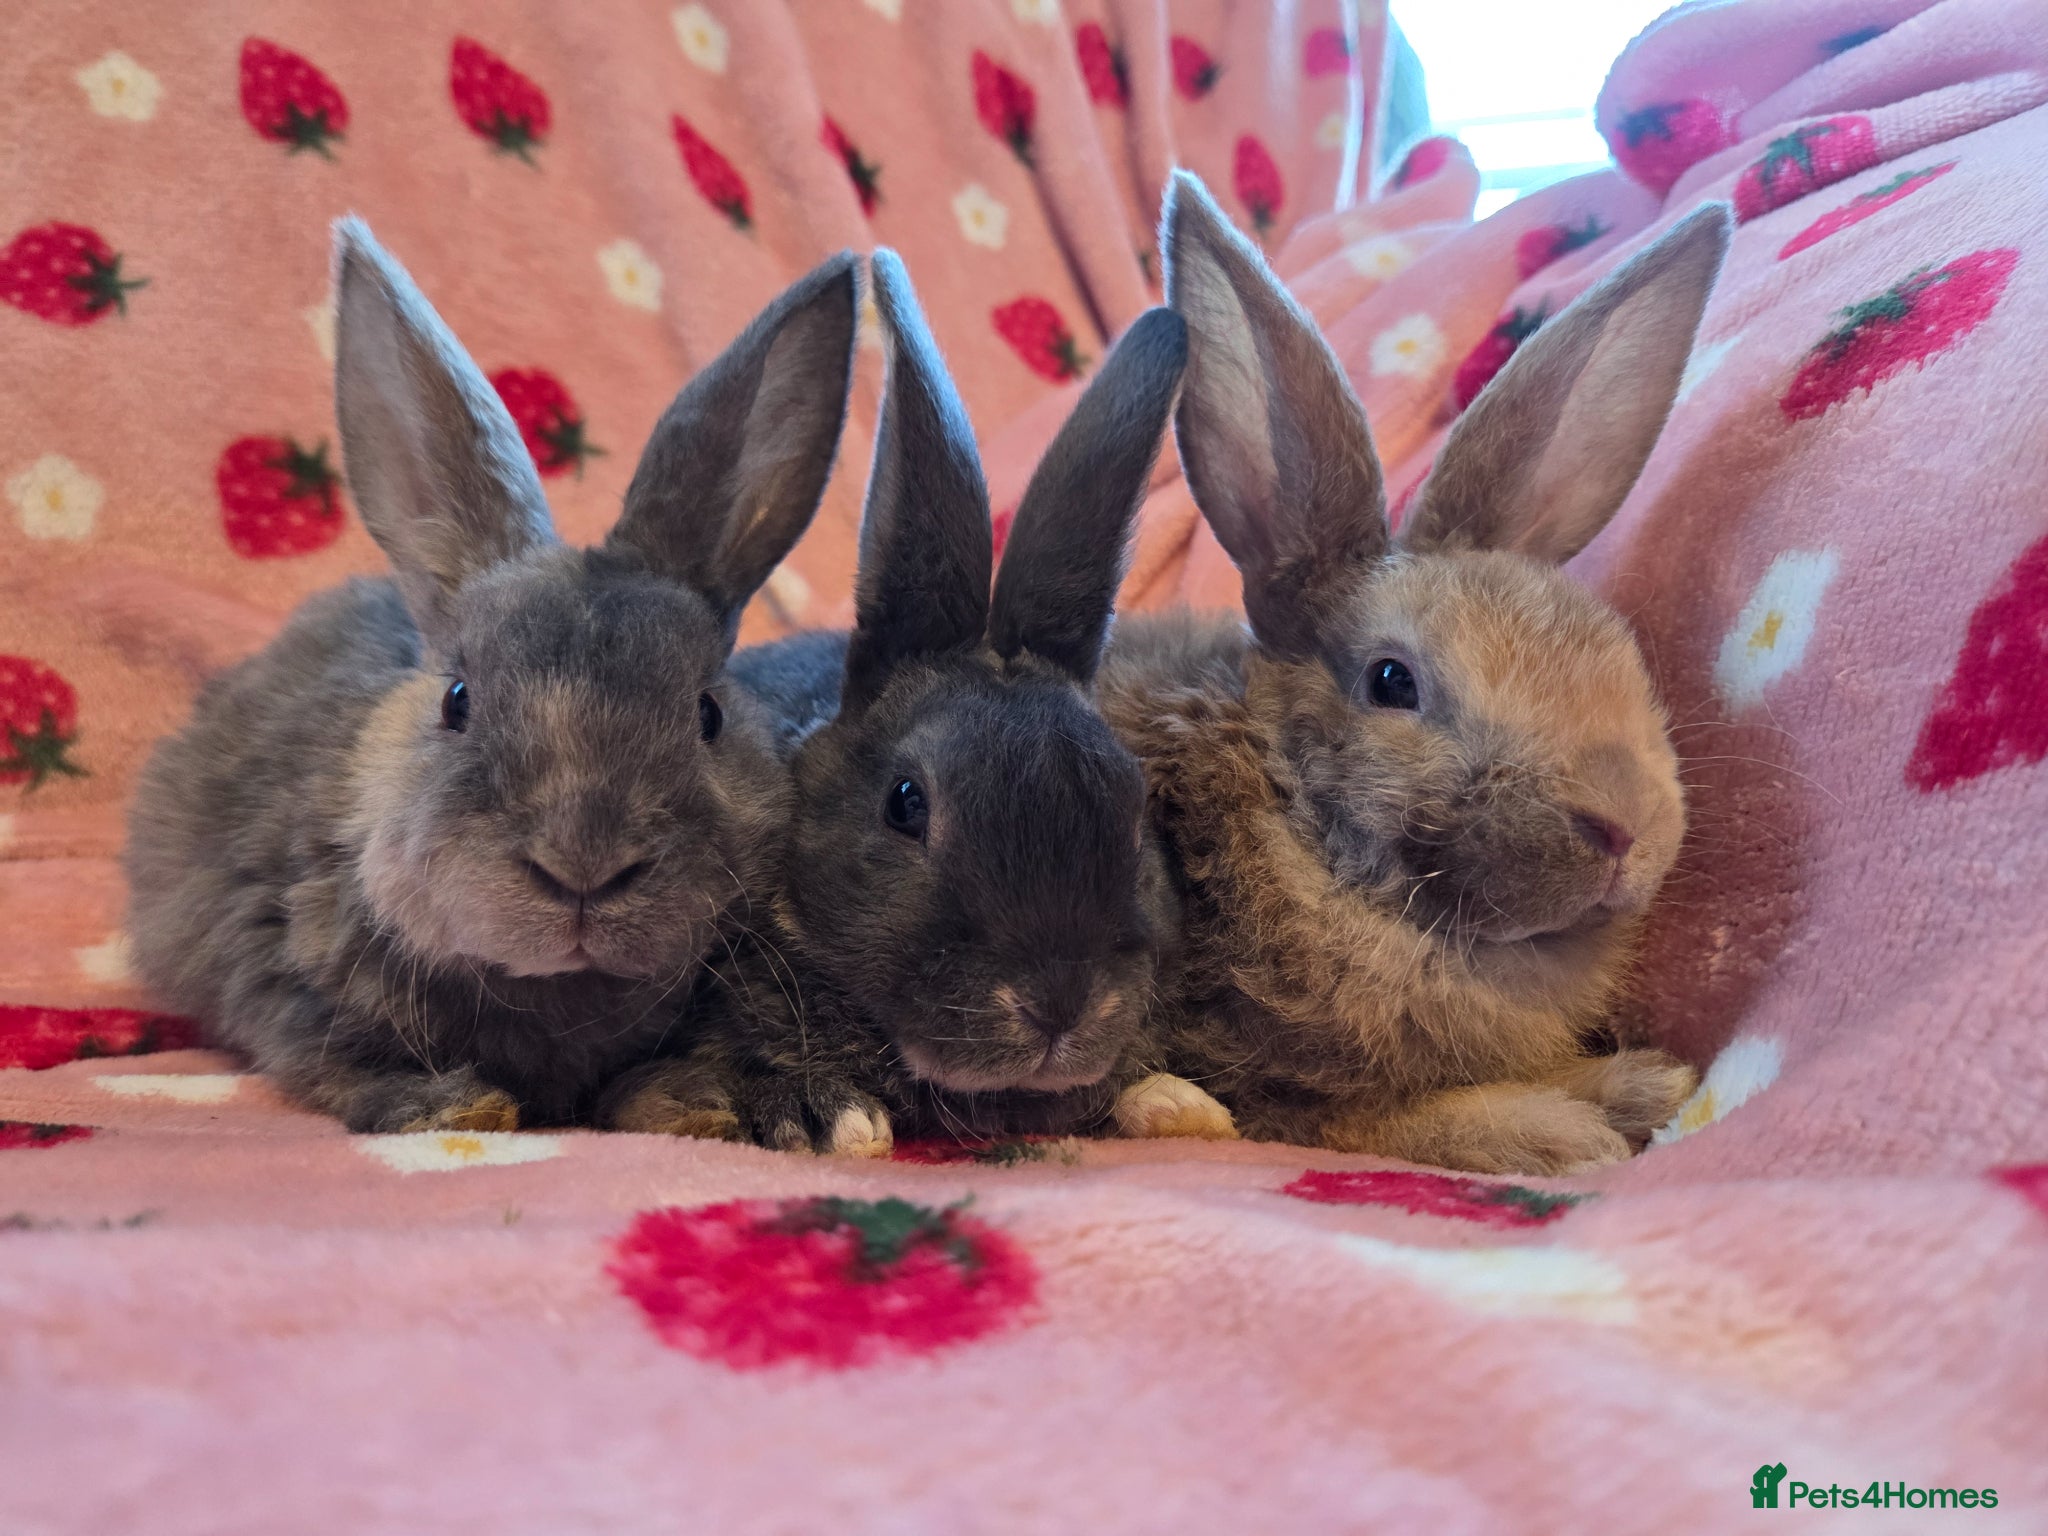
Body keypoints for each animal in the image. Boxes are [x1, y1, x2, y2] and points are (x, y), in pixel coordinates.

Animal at [123, 218, 859, 1134]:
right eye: (457, 701)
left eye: (707, 715)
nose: (583, 865)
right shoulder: (270, 968)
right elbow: (328, 1061)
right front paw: (453, 1108)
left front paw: (694, 1103)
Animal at [1092, 172, 1731, 1176]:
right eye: (1393, 683)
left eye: (1618, 650)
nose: (1626, 824)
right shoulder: (1292, 1091)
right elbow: (1400, 1123)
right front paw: (1566, 1133)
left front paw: (1647, 1084)